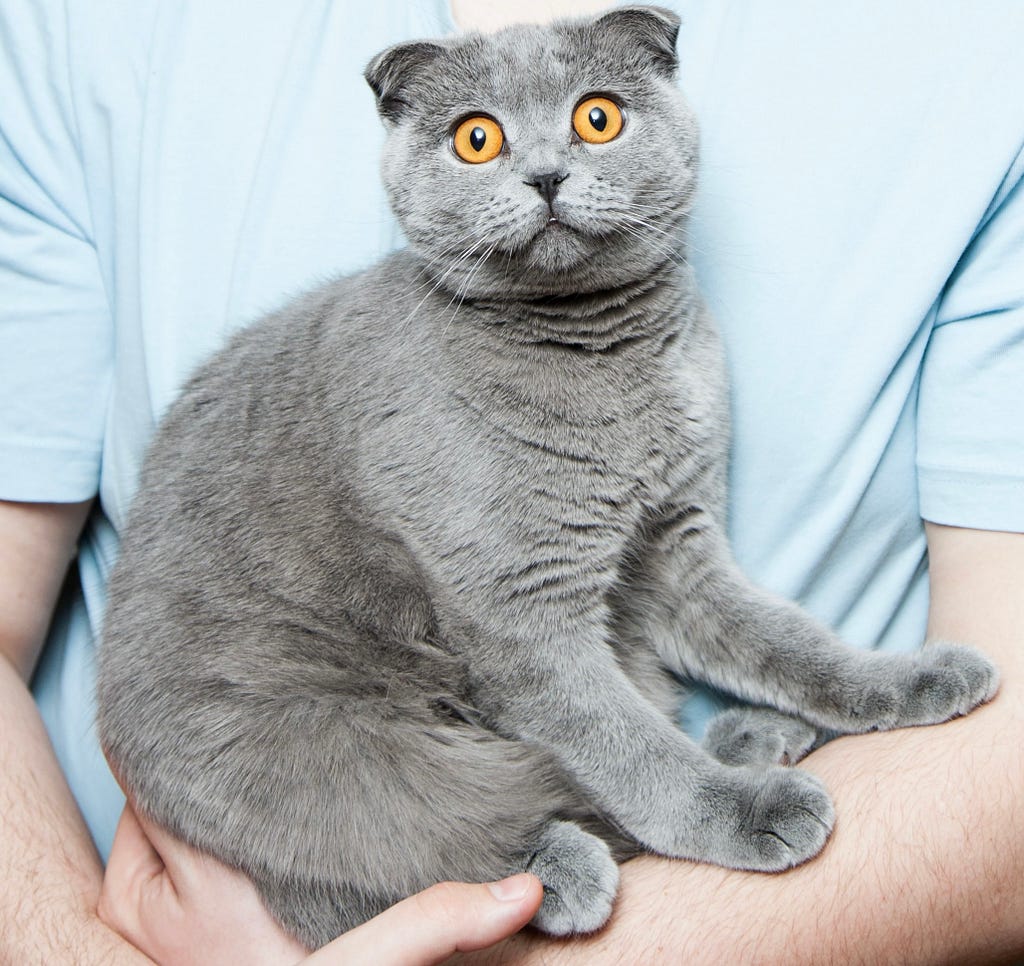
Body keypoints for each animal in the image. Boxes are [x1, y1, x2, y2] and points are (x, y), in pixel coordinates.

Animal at [94, 3, 991, 946]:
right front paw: (740, 815)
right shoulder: (520, 612)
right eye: (477, 138)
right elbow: (623, 746)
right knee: (393, 843)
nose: (547, 176)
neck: (605, 364)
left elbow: (784, 639)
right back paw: (564, 864)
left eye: (597, 117)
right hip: (317, 748)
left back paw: (753, 739)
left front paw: (903, 680)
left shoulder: (677, 538)